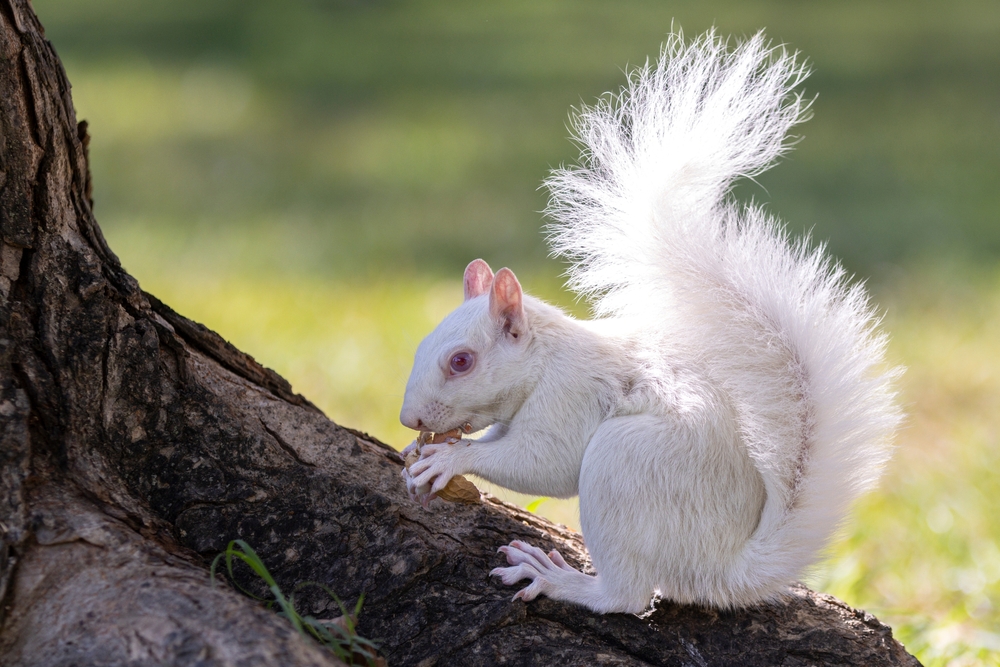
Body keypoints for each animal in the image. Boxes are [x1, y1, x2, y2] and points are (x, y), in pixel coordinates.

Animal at [398, 29, 902, 613]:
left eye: (462, 361)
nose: (409, 419)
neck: (546, 358)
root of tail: (721, 571)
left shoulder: (570, 396)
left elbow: (543, 462)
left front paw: (450, 460)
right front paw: (424, 450)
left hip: (624, 466)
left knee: (628, 595)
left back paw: (559, 579)